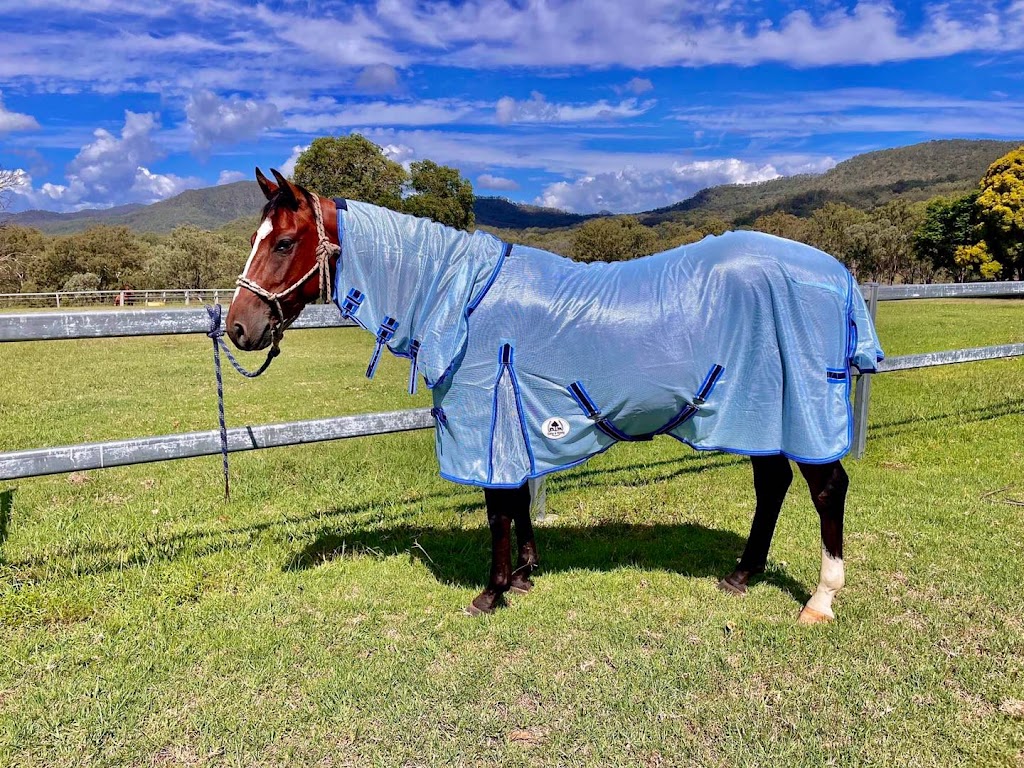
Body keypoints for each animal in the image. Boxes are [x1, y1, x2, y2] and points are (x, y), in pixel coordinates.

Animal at [227, 168, 883, 624]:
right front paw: (523, 575)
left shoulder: (483, 416)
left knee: (827, 488)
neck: (461, 296)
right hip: (757, 410)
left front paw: (490, 593)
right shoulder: (512, 419)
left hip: (797, 407)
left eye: (283, 242)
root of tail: (837, 274)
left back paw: (820, 600)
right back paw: (742, 575)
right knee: (772, 484)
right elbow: (517, 499)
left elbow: (497, 507)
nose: (237, 327)